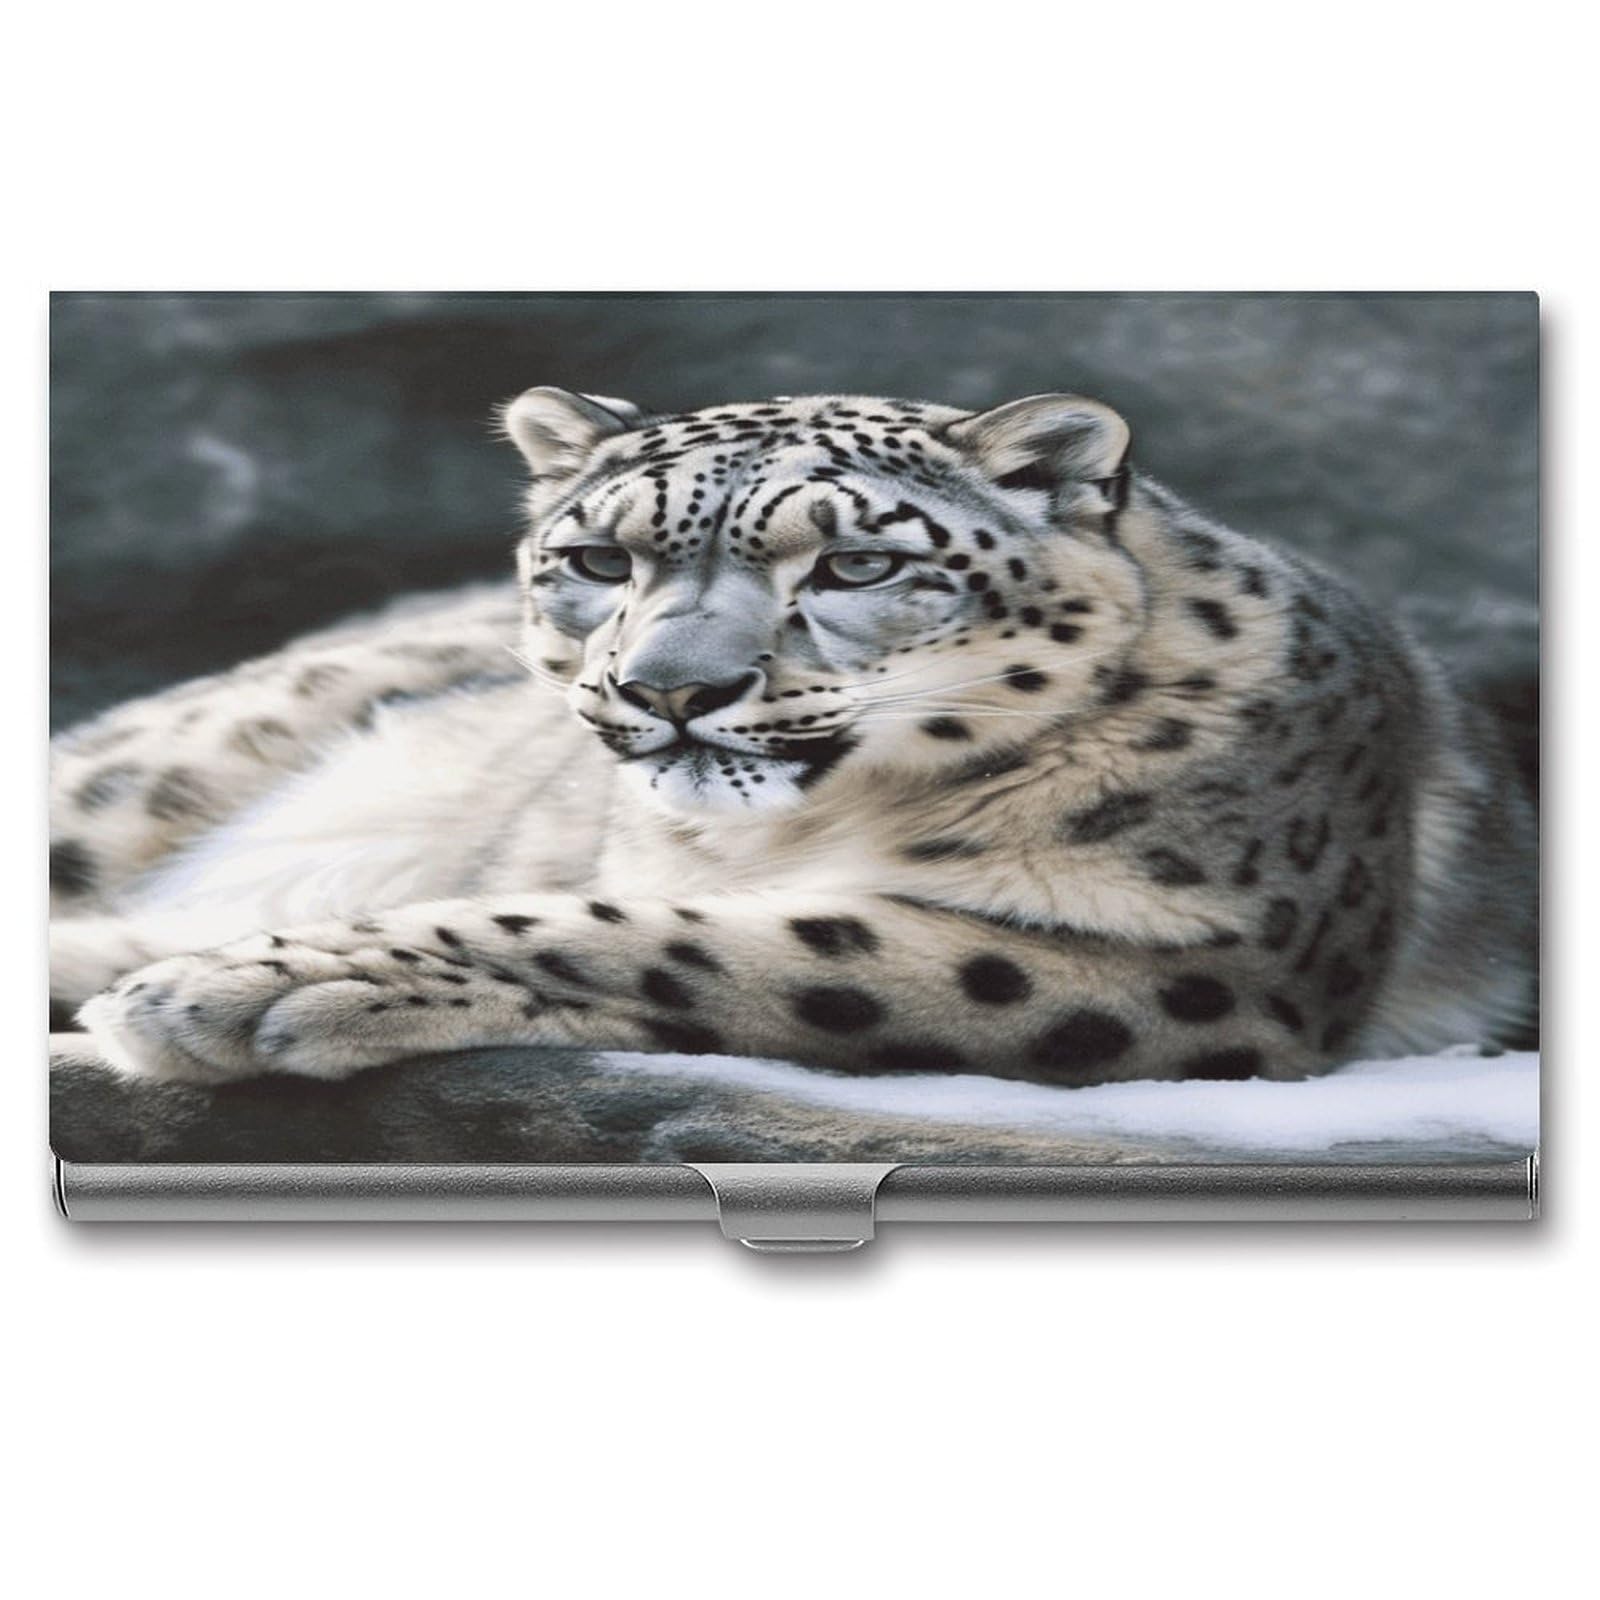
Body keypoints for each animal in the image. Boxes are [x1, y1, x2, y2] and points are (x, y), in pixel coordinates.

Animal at [50, 386, 1538, 1089]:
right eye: (597, 556)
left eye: (858, 566)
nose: (671, 688)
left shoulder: (1211, 965)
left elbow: (695, 942)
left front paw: (237, 991)